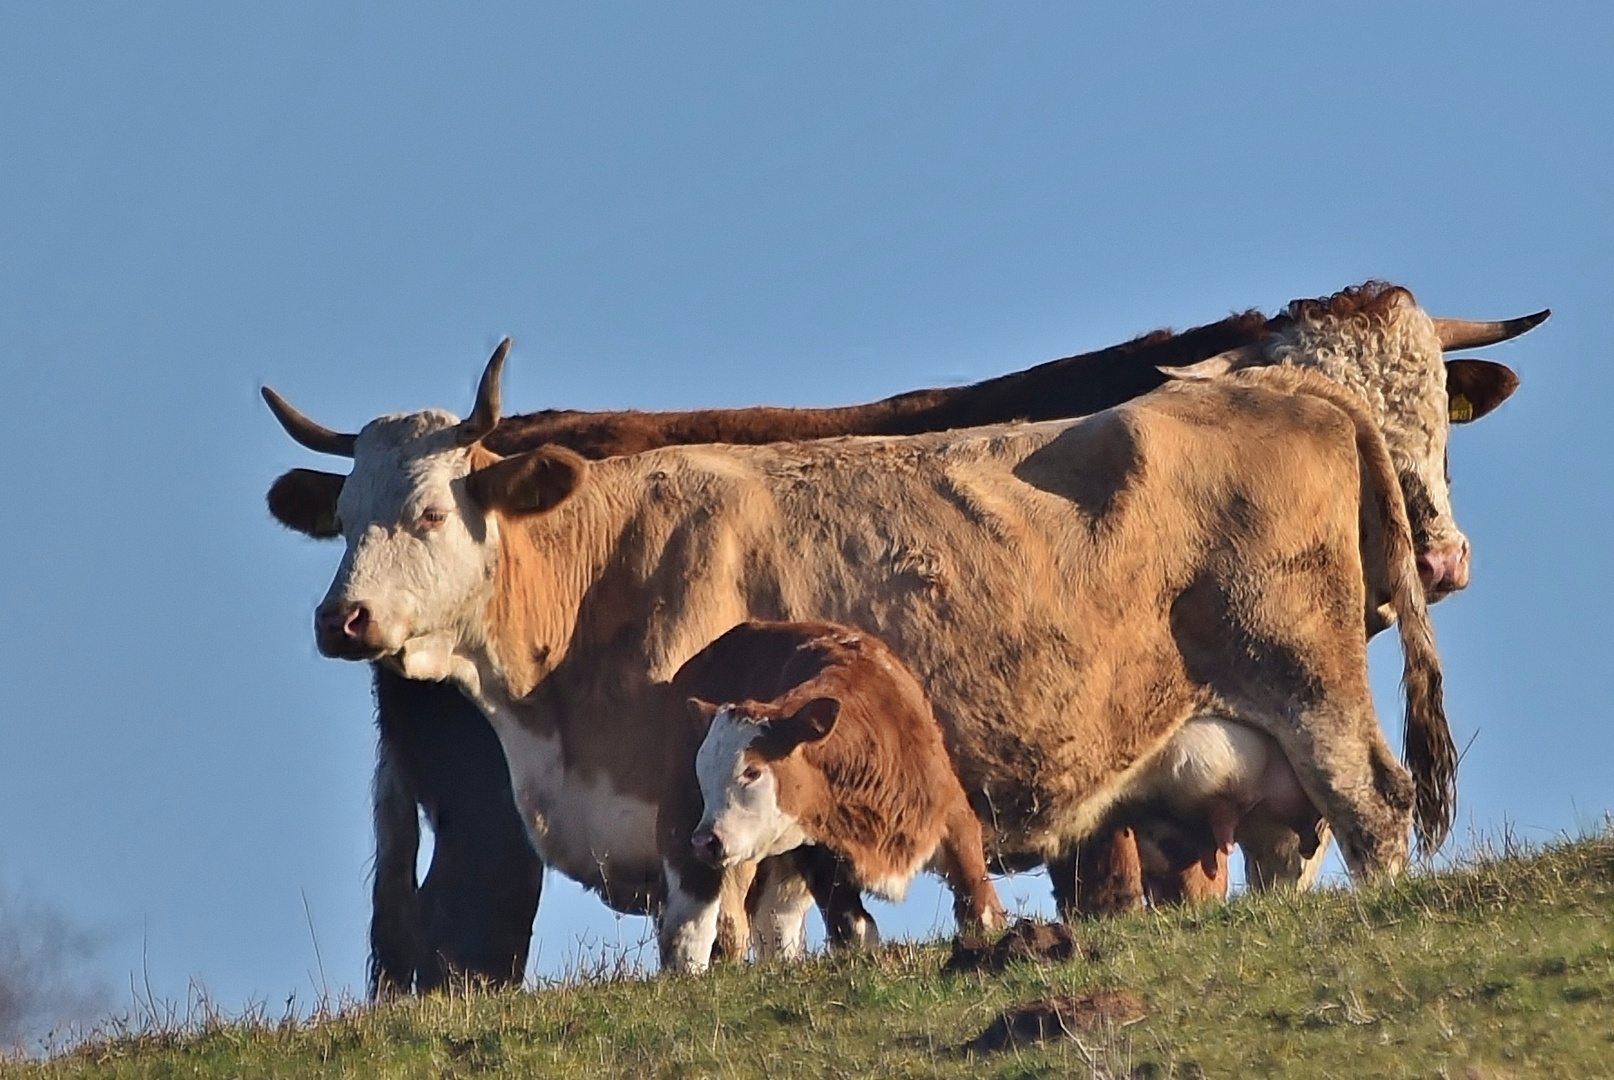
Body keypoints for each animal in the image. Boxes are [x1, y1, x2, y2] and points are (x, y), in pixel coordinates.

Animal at [652, 619, 1000, 975]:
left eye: (752, 771)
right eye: (702, 772)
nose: (707, 840)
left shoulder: (953, 814)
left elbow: (979, 901)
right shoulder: (819, 852)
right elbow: (852, 927)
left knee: (775, 918)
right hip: (683, 827)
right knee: (690, 922)